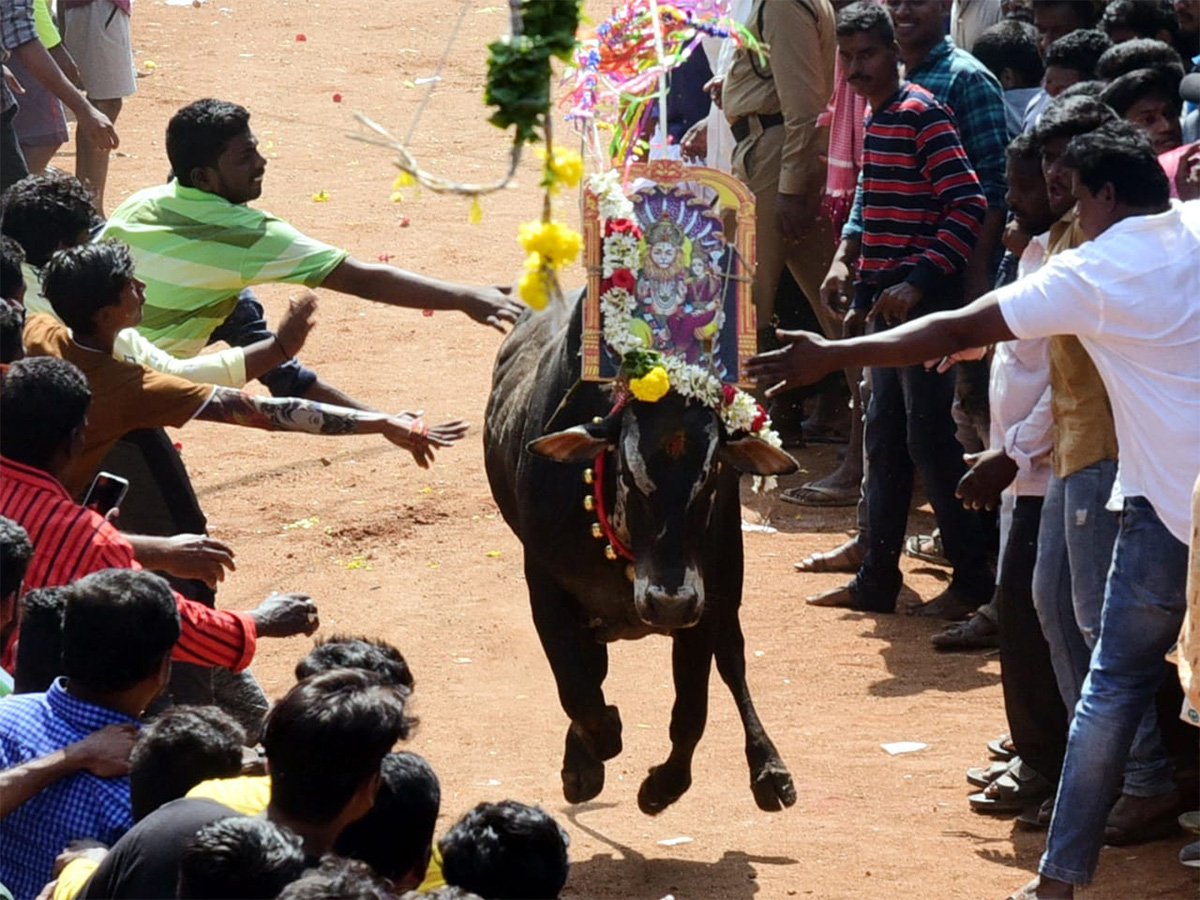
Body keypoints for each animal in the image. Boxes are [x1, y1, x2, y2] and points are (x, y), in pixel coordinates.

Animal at [482, 297, 801, 816]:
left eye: (712, 476)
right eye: (629, 474)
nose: (668, 604)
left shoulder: (704, 602)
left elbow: (691, 712)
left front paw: (661, 787)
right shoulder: (545, 589)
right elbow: (580, 694)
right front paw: (590, 756)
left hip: (727, 585)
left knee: (733, 663)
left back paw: (769, 769)